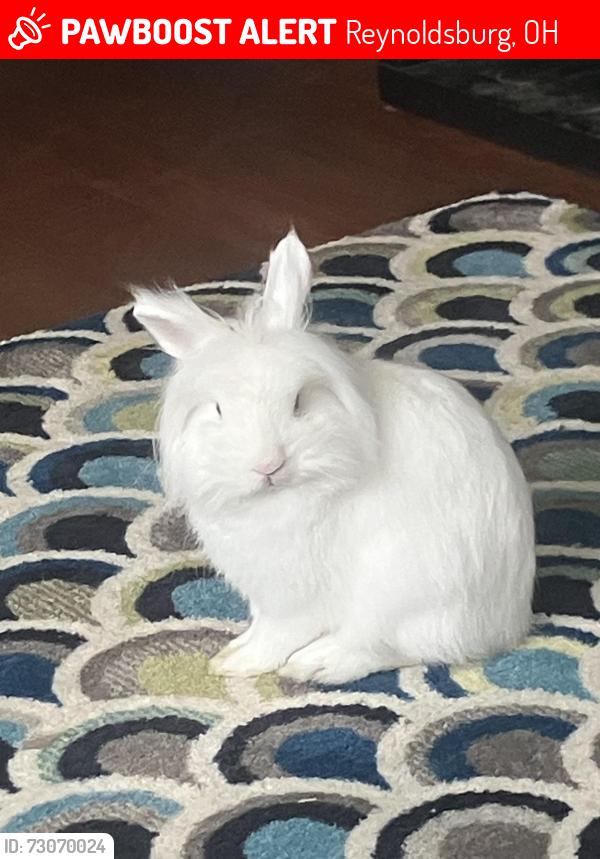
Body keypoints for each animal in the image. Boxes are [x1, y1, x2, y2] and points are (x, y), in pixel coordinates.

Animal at [132, 230, 535, 684]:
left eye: (299, 402)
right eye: (218, 410)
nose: (269, 464)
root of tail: (505, 625)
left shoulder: (296, 596)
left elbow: (279, 634)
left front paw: (236, 663)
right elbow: (262, 627)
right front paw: (235, 650)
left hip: (404, 591)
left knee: (385, 647)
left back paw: (314, 663)